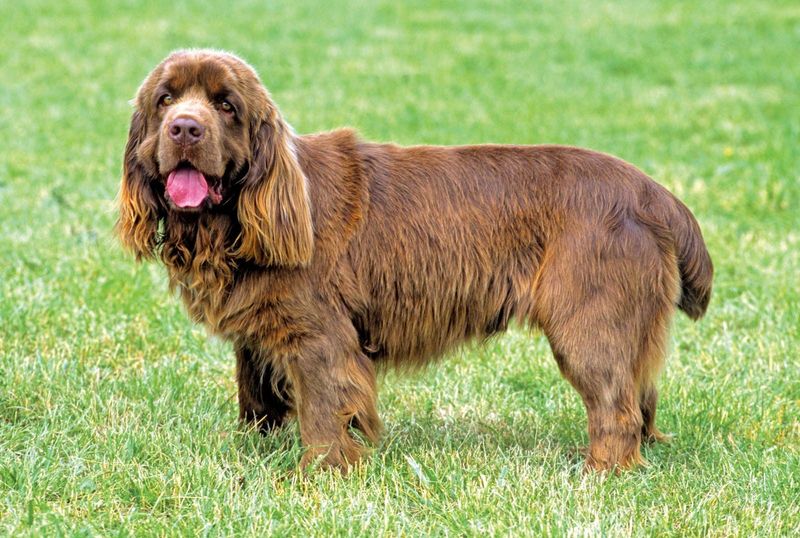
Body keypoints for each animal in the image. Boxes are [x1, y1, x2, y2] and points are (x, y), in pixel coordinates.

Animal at [117, 49, 712, 468]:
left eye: (226, 105)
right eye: (165, 100)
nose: (185, 128)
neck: (232, 224)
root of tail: (653, 192)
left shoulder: (320, 334)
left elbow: (325, 409)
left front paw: (319, 473)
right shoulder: (259, 334)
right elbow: (257, 397)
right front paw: (250, 451)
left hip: (588, 320)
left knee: (615, 406)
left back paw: (598, 471)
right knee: (640, 395)